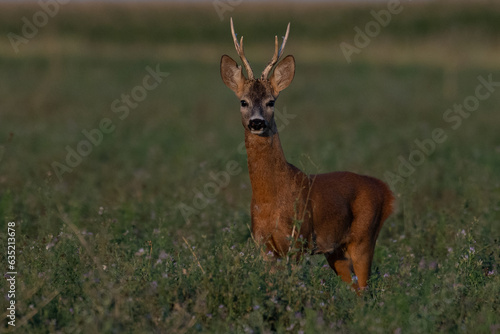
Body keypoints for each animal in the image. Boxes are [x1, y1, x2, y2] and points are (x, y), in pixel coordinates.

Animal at [220, 18, 394, 290]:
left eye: (271, 101)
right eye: (243, 102)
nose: (257, 123)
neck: (270, 198)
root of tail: (386, 191)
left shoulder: (298, 240)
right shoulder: (264, 246)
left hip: (364, 237)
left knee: (366, 288)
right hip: (336, 251)